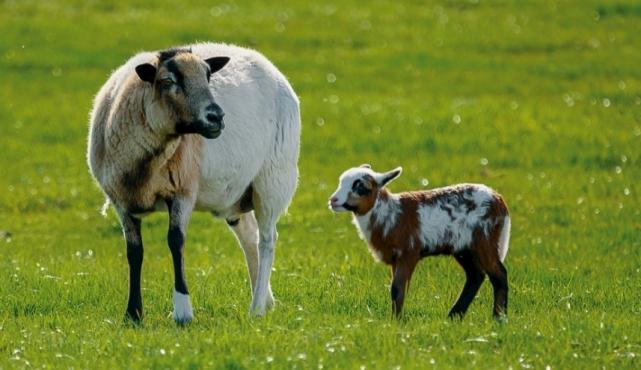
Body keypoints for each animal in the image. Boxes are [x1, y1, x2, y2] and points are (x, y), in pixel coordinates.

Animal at [86, 42, 302, 322]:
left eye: (208, 76)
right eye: (168, 81)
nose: (217, 117)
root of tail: (267, 64)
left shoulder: (183, 191)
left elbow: (175, 241)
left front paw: (183, 311)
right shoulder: (121, 201)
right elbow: (134, 252)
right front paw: (133, 314)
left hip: (273, 179)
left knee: (267, 240)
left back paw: (256, 309)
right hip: (237, 193)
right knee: (249, 236)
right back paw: (264, 300)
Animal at [330, 163, 510, 320]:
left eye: (360, 187)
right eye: (341, 182)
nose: (333, 200)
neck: (390, 213)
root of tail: (499, 200)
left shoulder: (408, 253)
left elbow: (397, 289)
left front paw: (395, 322)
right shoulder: (395, 259)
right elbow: (396, 289)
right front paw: (395, 319)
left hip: (485, 239)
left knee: (499, 275)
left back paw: (499, 318)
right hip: (463, 248)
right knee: (475, 276)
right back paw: (453, 317)